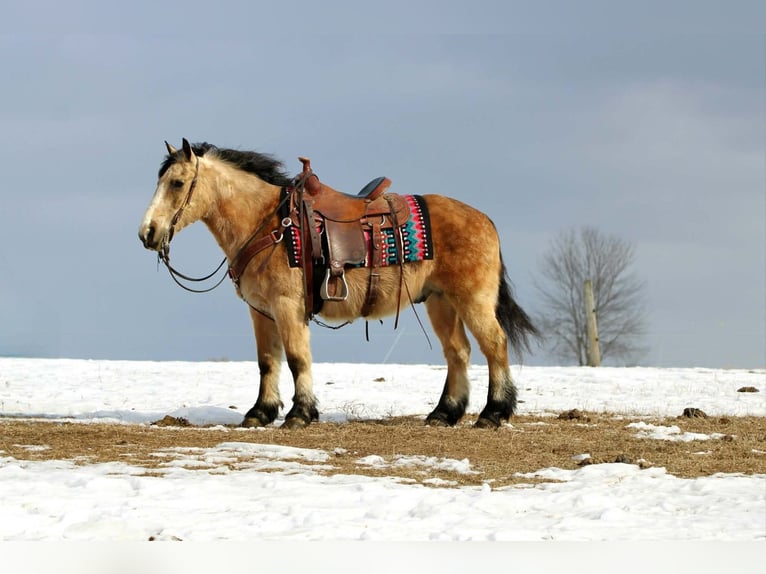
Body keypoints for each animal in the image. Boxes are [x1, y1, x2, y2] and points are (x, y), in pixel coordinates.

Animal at [138, 138, 539, 429]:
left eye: (176, 183)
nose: (148, 233)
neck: (268, 222)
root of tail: (484, 219)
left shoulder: (287, 306)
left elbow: (297, 358)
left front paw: (300, 414)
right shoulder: (261, 312)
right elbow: (267, 362)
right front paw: (260, 413)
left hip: (472, 300)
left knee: (494, 345)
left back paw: (493, 413)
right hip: (440, 302)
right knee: (458, 352)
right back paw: (444, 414)